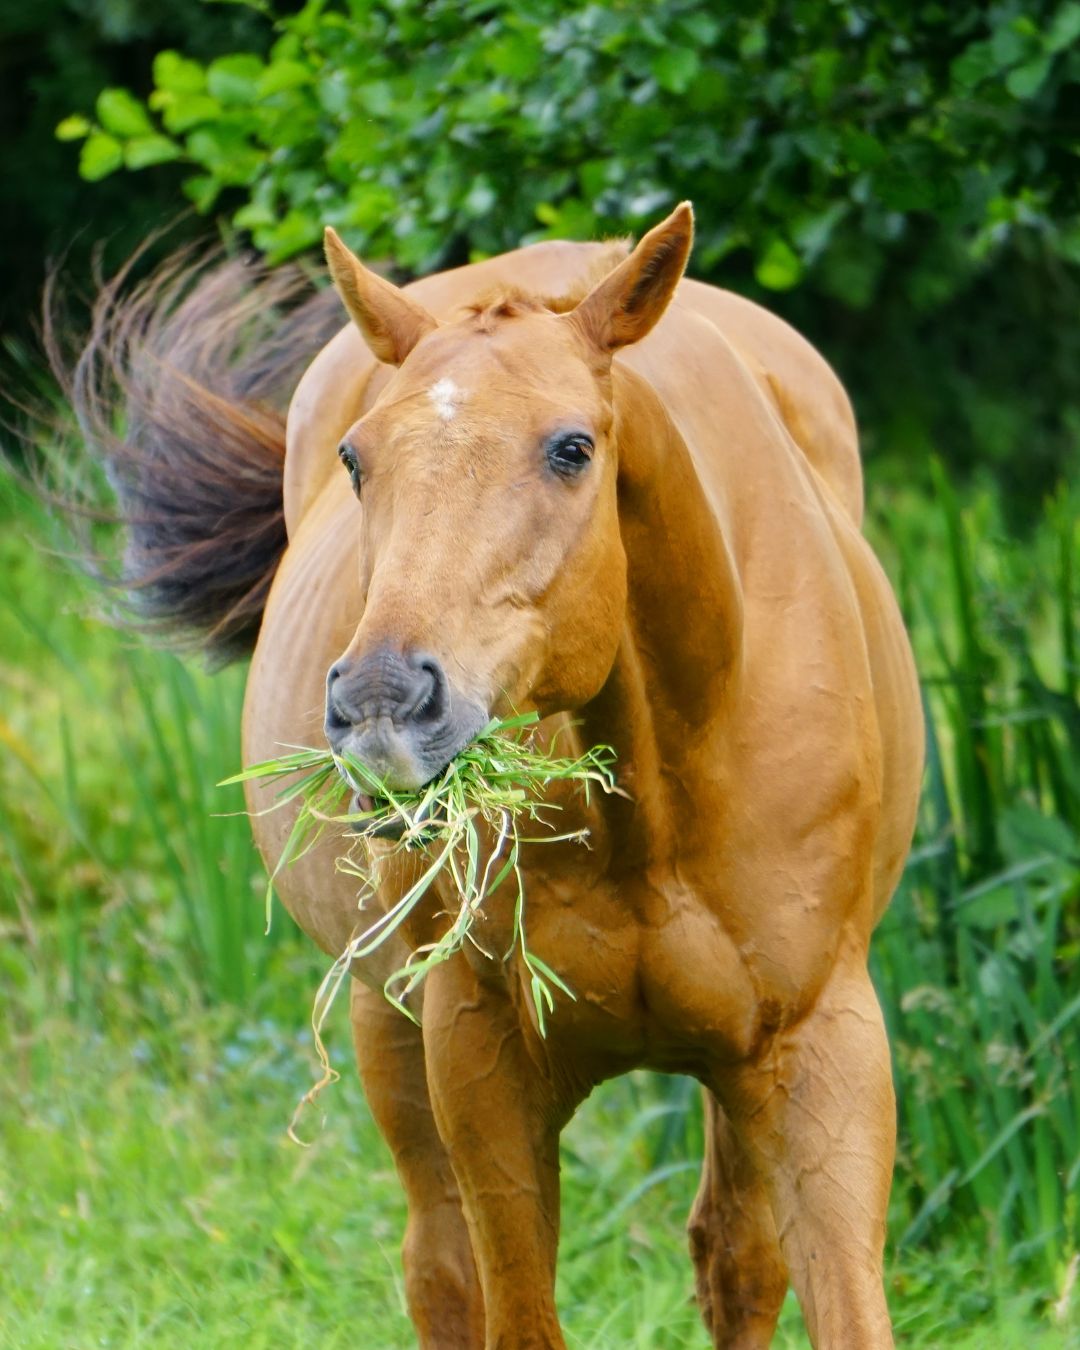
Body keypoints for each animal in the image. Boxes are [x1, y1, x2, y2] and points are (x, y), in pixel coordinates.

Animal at [68, 203, 923, 1349]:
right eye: (357, 458)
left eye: (571, 448)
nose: (383, 702)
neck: (657, 797)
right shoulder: (482, 1061)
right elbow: (510, 1307)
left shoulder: (818, 1051)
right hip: (387, 1025)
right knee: (439, 1270)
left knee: (735, 1260)